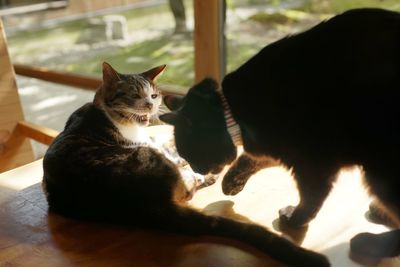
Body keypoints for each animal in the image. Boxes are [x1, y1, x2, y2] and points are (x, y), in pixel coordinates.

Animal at [41, 63, 328, 267]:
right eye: (134, 95)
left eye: (154, 95)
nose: (150, 105)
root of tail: (147, 208)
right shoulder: (146, 143)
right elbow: (171, 150)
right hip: (147, 159)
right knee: (188, 186)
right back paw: (205, 176)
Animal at [161, 8, 400, 260]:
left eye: (190, 154)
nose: (197, 170)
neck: (234, 111)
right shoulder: (276, 147)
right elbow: (250, 159)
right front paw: (231, 183)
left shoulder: (312, 164)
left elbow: (309, 198)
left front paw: (295, 219)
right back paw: (379, 214)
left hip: (379, 169)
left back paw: (370, 242)